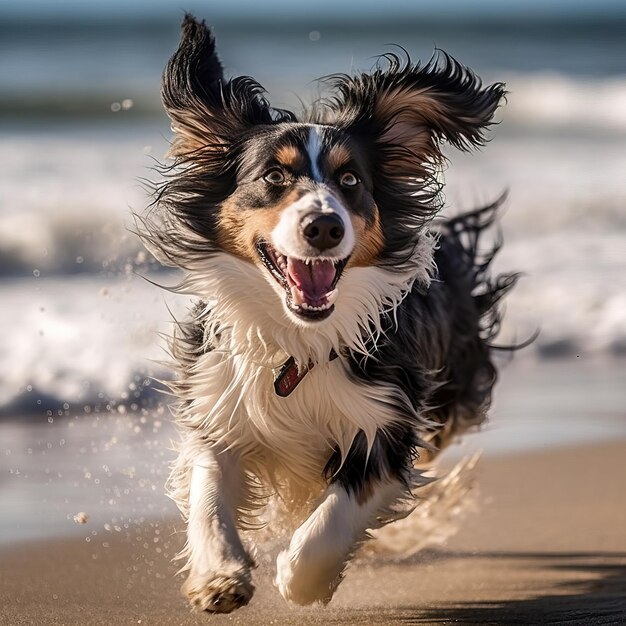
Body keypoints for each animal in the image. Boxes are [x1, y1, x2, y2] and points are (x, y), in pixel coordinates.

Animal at [140, 13, 516, 608]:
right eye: (273, 176)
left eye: (350, 180)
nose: (324, 226)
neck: (299, 341)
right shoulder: (219, 400)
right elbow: (208, 491)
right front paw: (219, 576)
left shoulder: (386, 419)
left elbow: (335, 515)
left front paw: (302, 579)